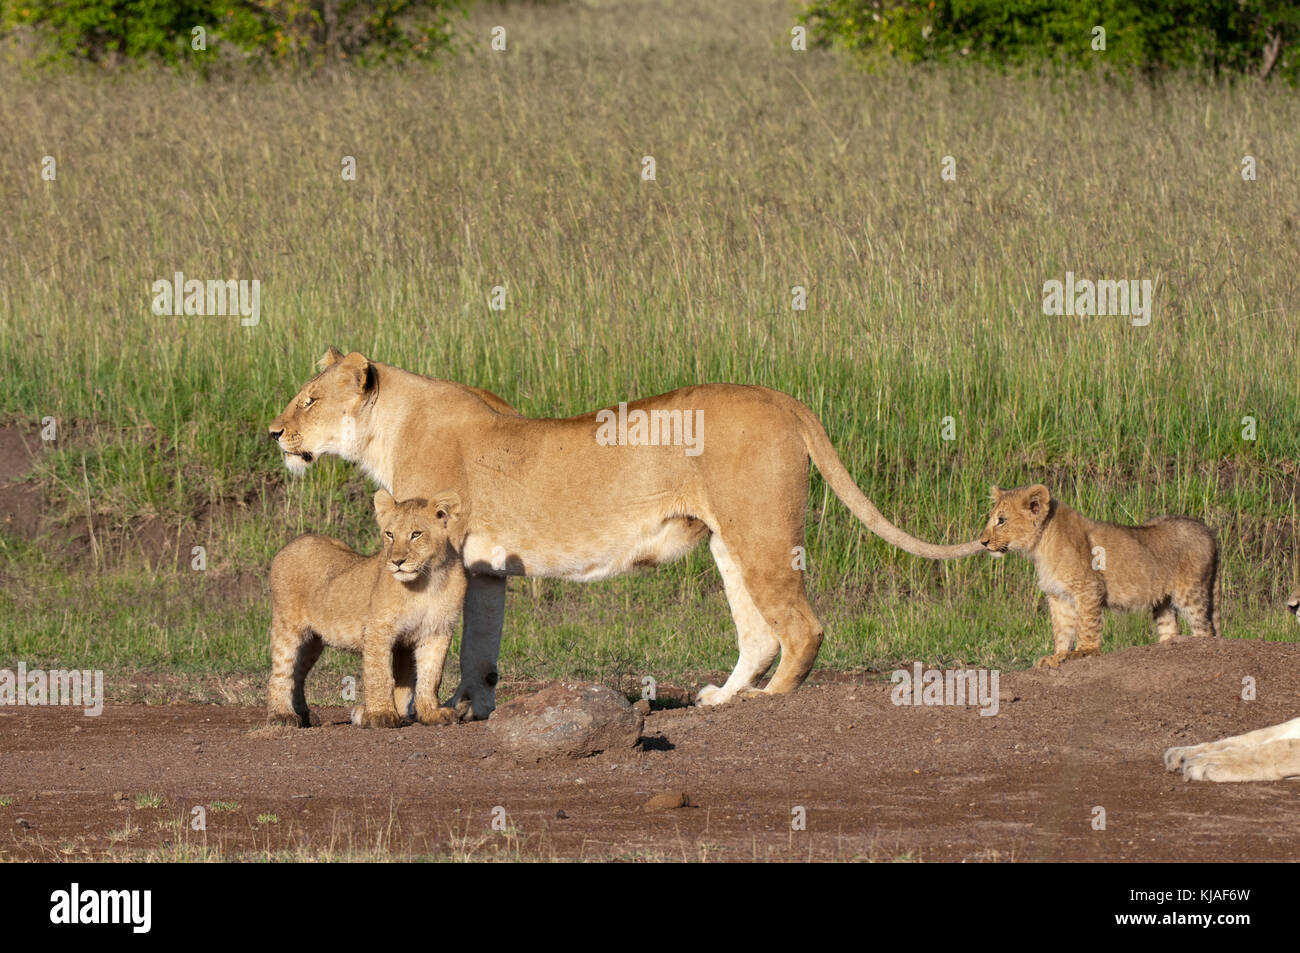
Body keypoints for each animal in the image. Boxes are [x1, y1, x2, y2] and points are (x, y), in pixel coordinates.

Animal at [266, 488, 466, 729]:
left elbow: (431, 676)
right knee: (281, 673)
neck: (429, 581)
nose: (397, 561)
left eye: (416, 534)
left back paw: (305, 715)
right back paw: (283, 716)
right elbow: (379, 674)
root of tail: (292, 543)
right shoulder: (378, 629)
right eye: (389, 534)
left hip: (313, 641)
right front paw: (380, 715)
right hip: (287, 627)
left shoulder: (437, 632)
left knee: (298, 674)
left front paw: (431, 713)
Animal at [979, 484, 1221, 668]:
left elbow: (1087, 623)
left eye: (1002, 520)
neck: (1041, 546)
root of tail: (1207, 530)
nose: (983, 542)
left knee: (1205, 628)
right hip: (1163, 601)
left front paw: (1084, 651)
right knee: (1171, 627)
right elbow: (1062, 629)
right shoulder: (1058, 596)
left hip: (1190, 592)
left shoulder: (1088, 588)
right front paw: (1057, 656)